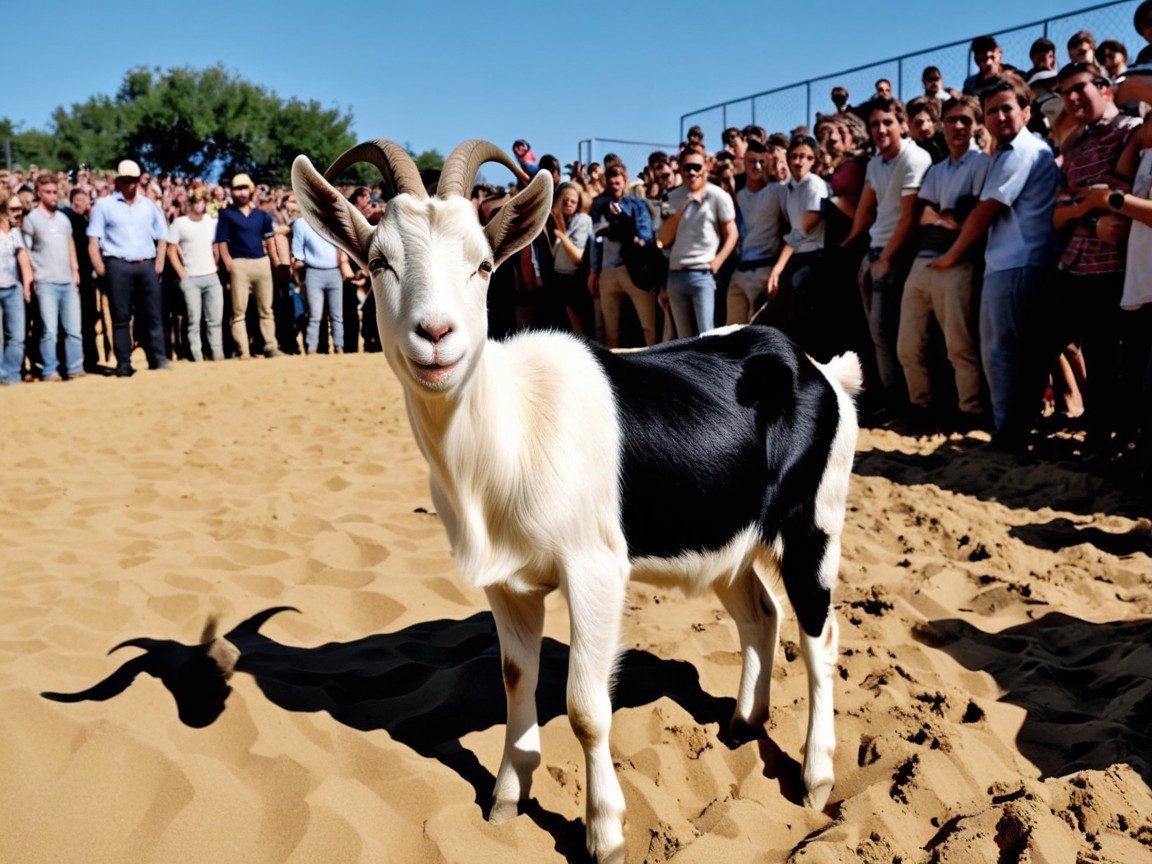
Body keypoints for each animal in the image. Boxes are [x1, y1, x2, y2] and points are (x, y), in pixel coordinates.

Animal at [292, 139, 862, 863]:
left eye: (483, 264)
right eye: (378, 261)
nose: (436, 334)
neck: (510, 429)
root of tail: (821, 369)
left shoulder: (594, 570)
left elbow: (587, 708)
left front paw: (605, 833)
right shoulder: (507, 582)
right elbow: (515, 679)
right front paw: (506, 800)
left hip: (814, 521)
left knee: (820, 635)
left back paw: (815, 777)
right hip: (723, 536)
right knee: (761, 614)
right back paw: (741, 724)